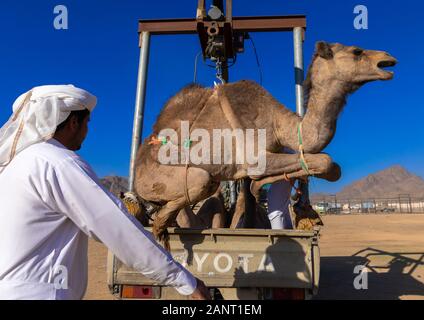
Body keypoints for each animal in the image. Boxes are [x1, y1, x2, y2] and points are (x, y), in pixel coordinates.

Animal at [135, 42, 398, 248]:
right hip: (162, 179)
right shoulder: (255, 156)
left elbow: (330, 167)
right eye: (357, 51)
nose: (387, 58)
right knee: (200, 184)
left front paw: (291, 201)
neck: (281, 123)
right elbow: (326, 161)